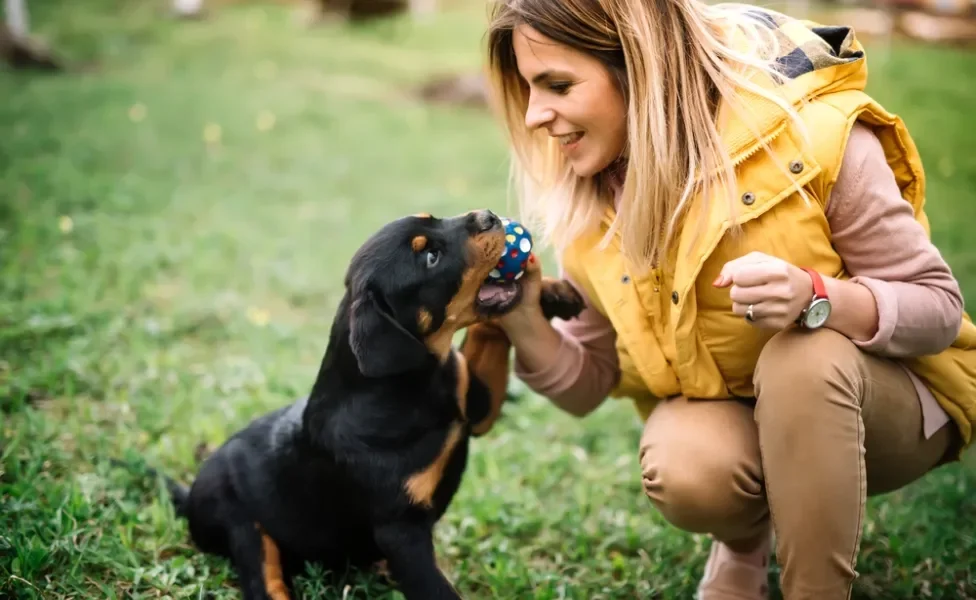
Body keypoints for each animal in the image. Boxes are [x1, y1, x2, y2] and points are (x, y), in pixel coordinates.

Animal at [156, 209, 584, 596]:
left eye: (435, 218)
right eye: (430, 258)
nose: (489, 216)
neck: (411, 383)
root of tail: (190, 496)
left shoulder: (474, 406)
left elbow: (488, 329)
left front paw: (549, 291)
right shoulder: (402, 531)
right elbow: (438, 590)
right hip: (243, 527)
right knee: (265, 581)